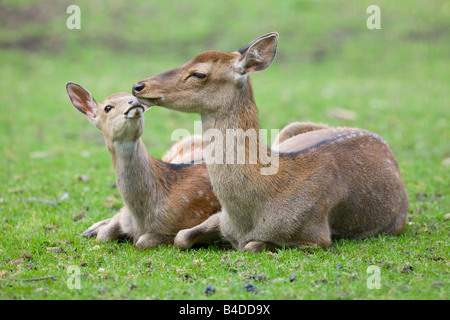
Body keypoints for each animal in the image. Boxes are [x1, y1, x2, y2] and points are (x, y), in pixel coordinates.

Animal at [66, 82, 221, 250]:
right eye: (108, 107)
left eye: (133, 97)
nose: (134, 102)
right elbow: (104, 236)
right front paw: (95, 231)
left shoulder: (189, 220)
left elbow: (145, 241)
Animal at [132, 33, 410, 252]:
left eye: (198, 73)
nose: (139, 85)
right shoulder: (221, 217)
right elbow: (180, 237)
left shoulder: (315, 234)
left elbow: (252, 246)